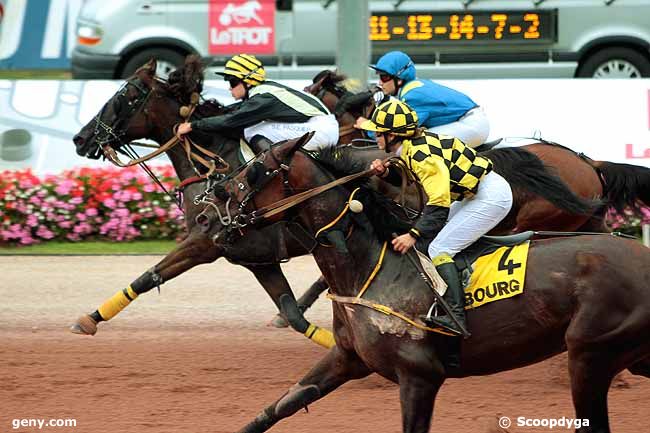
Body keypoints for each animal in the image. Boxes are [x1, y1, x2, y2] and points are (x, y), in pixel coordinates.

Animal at [206, 133, 648, 430]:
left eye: (252, 173)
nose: (208, 215)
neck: (370, 264)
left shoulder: (419, 376)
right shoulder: (347, 358)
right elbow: (281, 406)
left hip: (590, 354)